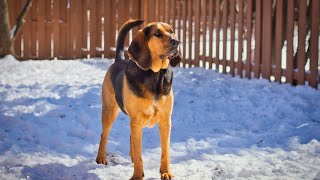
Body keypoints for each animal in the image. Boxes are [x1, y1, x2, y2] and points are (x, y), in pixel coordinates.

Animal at [95, 19, 181, 179]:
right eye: (157, 33)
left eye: (172, 31)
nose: (176, 42)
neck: (155, 75)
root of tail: (119, 60)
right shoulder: (136, 121)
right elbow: (139, 153)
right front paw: (137, 175)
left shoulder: (165, 122)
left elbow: (165, 151)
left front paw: (166, 172)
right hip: (110, 112)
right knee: (104, 134)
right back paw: (101, 158)